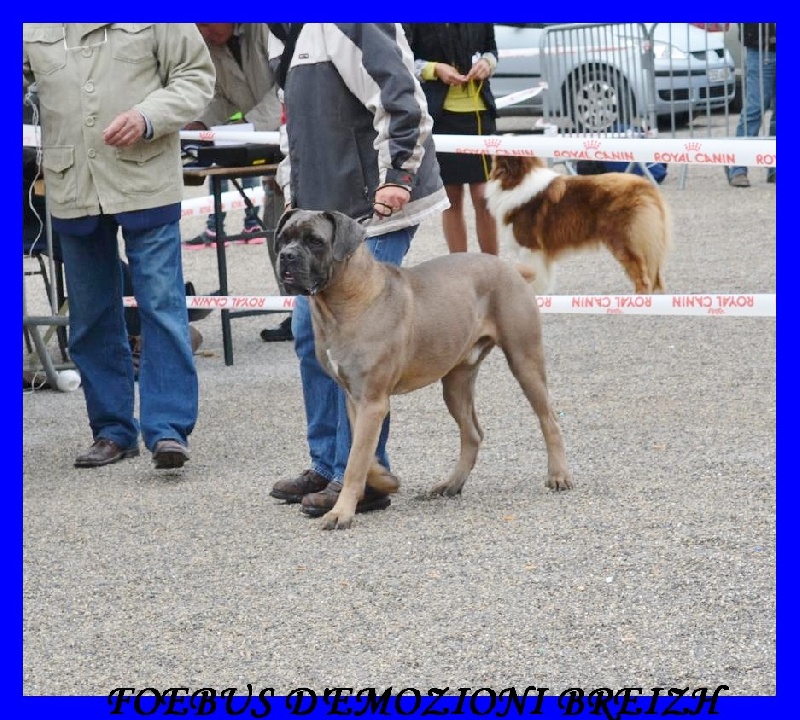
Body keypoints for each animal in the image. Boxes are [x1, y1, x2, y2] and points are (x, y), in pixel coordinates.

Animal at [276, 208, 576, 528]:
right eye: (282, 238)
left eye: (315, 241)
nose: (287, 256)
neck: (344, 299)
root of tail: (508, 267)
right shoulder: (356, 399)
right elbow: (362, 454)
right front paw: (384, 481)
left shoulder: (372, 401)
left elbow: (355, 461)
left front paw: (341, 511)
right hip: (456, 384)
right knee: (472, 434)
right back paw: (451, 484)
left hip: (524, 361)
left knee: (549, 420)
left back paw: (558, 475)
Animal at [484, 155, 672, 296]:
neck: (517, 180)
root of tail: (645, 185)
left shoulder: (529, 248)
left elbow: (535, 277)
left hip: (625, 243)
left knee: (642, 277)